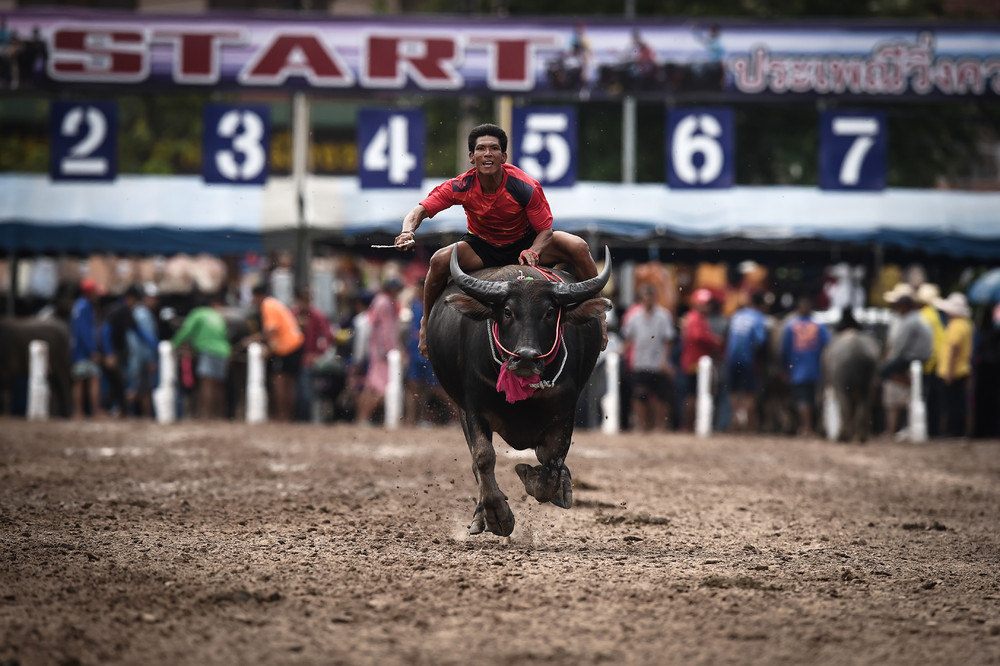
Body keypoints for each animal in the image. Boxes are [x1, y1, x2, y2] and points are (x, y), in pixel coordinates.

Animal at [428, 248, 612, 536]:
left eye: (550, 312)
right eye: (507, 311)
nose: (525, 357)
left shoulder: (565, 411)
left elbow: (551, 463)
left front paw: (535, 477)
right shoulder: (474, 407)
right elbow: (483, 457)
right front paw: (497, 516)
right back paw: (480, 516)